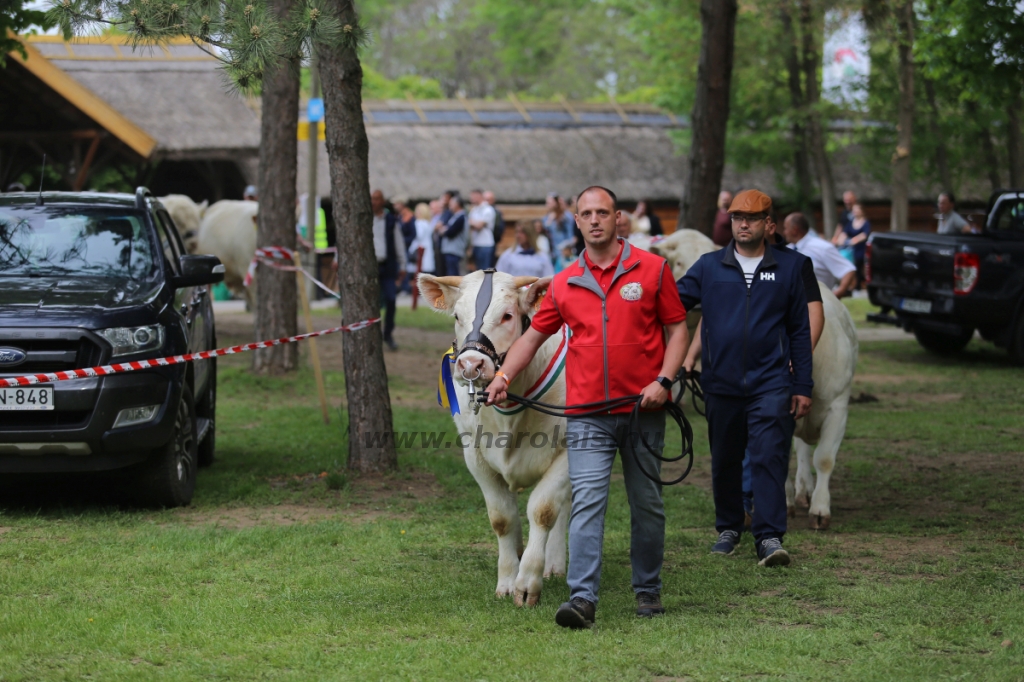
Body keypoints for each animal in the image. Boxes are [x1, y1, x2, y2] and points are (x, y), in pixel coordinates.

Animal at [419, 268, 573, 602]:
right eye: (457, 315)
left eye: (507, 315)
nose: (470, 364)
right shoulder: (475, 454)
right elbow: (502, 518)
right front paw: (507, 579)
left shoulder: (571, 448)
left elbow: (543, 510)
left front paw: (527, 582)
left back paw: (555, 563)